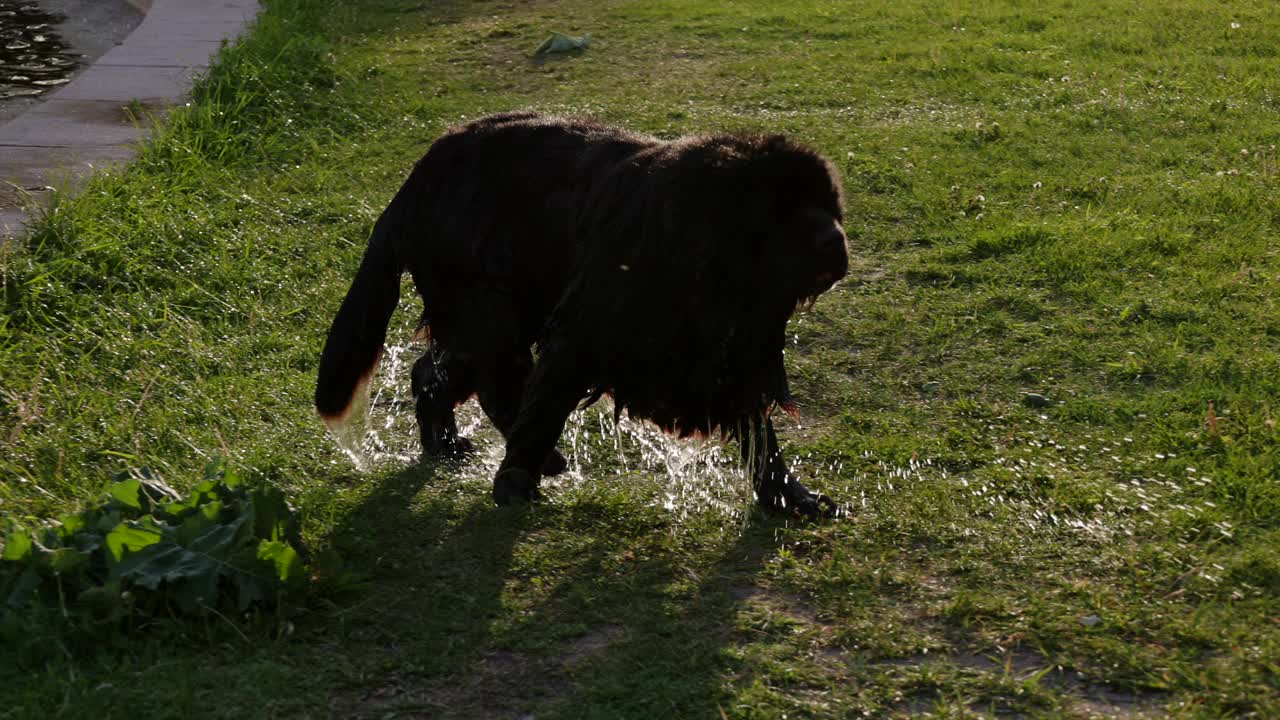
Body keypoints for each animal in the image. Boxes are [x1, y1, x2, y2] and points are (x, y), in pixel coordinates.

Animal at [313, 112, 844, 515]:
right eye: (780, 213)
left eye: (829, 206)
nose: (835, 239)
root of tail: (416, 181)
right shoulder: (584, 334)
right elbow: (546, 404)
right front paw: (516, 480)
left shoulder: (731, 352)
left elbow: (759, 431)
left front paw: (790, 497)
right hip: (489, 303)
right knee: (498, 382)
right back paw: (538, 459)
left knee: (437, 370)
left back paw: (443, 442)